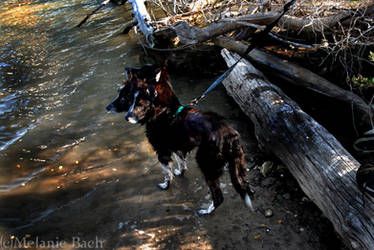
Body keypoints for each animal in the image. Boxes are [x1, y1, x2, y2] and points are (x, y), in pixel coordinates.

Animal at [106, 64, 256, 215]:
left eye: (140, 71)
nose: (127, 68)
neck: (164, 111)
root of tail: (230, 135)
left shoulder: (162, 151)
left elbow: (167, 173)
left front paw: (165, 185)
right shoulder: (177, 146)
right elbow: (181, 163)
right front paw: (180, 172)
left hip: (206, 164)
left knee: (218, 196)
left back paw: (206, 211)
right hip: (237, 167)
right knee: (246, 188)